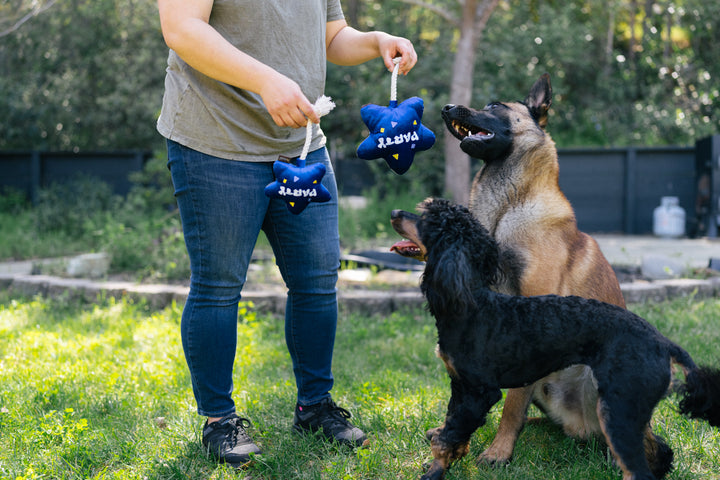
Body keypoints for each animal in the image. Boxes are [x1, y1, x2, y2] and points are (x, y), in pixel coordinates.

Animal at [394, 197, 720, 478]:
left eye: (427, 218)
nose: (395, 213)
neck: (473, 304)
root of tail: (664, 344)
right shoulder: (460, 386)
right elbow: (453, 432)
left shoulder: (479, 391)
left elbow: (448, 439)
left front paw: (434, 472)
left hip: (618, 409)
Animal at [428, 75, 668, 476]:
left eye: (495, 107)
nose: (447, 108)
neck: (508, 210)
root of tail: (583, 427)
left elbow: (511, 403)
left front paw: (498, 451)